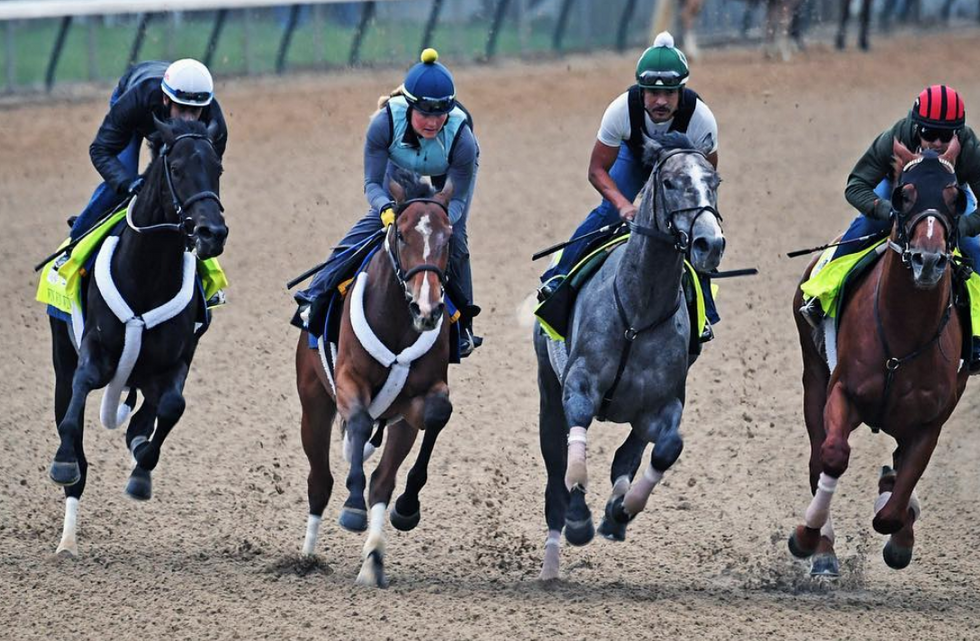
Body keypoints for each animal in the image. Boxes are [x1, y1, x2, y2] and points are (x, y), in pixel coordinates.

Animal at [49, 119, 228, 556]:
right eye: (176, 168)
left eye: (218, 168)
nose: (211, 232)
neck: (147, 274)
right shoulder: (93, 350)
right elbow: (79, 396)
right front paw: (63, 461)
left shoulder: (176, 360)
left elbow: (173, 407)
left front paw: (141, 474)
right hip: (61, 356)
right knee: (70, 409)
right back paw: (67, 541)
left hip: (144, 376)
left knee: (143, 419)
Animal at [294, 174, 456, 584]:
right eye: (401, 234)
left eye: (448, 236)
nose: (427, 308)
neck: (399, 321)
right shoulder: (348, 381)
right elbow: (358, 420)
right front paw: (352, 507)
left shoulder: (418, 399)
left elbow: (436, 415)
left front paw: (407, 508)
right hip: (313, 403)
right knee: (319, 480)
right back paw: (306, 557)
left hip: (398, 423)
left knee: (382, 479)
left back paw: (372, 560)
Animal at [532, 135, 724, 580]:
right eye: (670, 182)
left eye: (714, 181)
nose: (710, 243)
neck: (637, 311)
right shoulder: (578, 385)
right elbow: (575, 452)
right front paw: (580, 519)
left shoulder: (664, 401)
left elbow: (666, 447)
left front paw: (620, 511)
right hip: (547, 393)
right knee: (555, 474)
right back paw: (551, 564)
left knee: (627, 455)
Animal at [784, 139, 968, 576]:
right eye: (903, 194)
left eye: (956, 198)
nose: (928, 260)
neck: (902, 340)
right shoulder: (842, 392)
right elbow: (833, 456)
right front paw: (807, 538)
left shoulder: (930, 421)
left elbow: (894, 506)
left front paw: (898, 527)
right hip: (813, 376)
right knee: (818, 458)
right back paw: (823, 550)